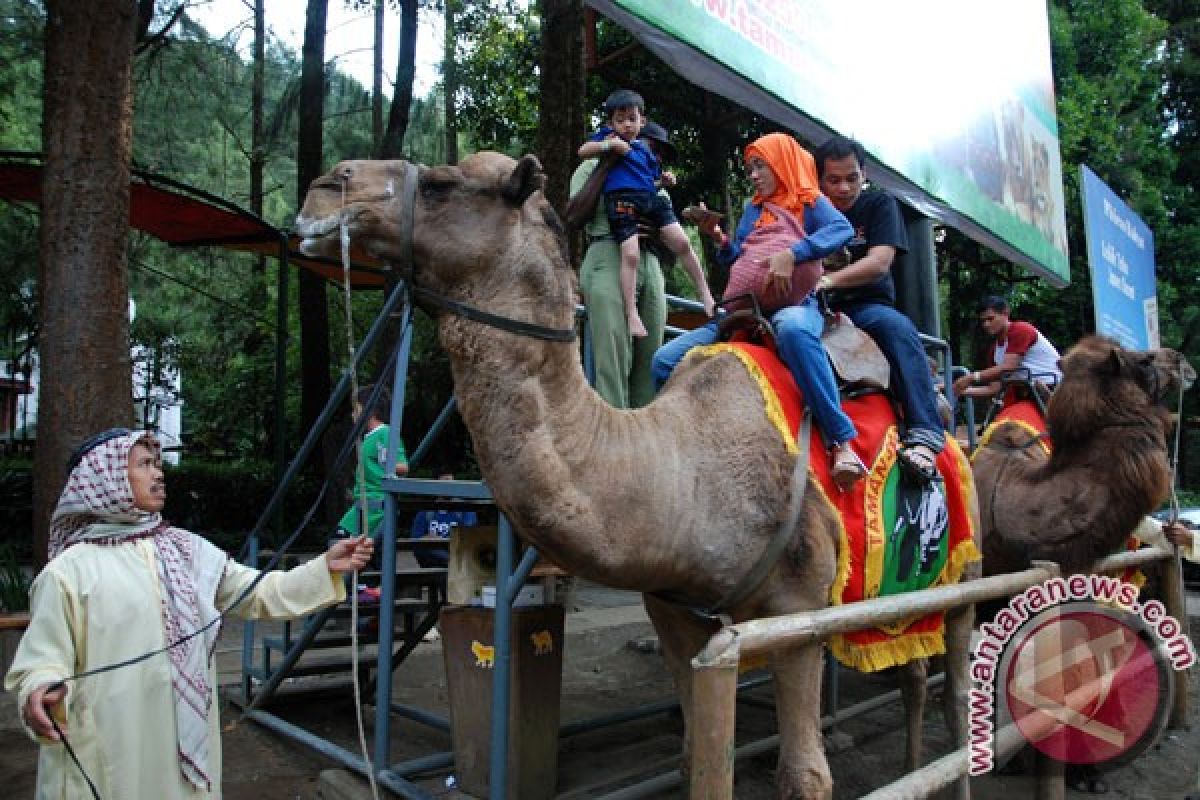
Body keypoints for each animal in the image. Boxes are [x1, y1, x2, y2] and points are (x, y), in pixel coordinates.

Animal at [295, 151, 979, 800]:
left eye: (439, 184)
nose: (324, 189)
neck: (682, 470)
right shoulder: (674, 610)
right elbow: (696, 756)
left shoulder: (798, 609)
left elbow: (806, 777)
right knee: (913, 669)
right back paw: (916, 764)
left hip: (961, 570)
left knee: (952, 681)